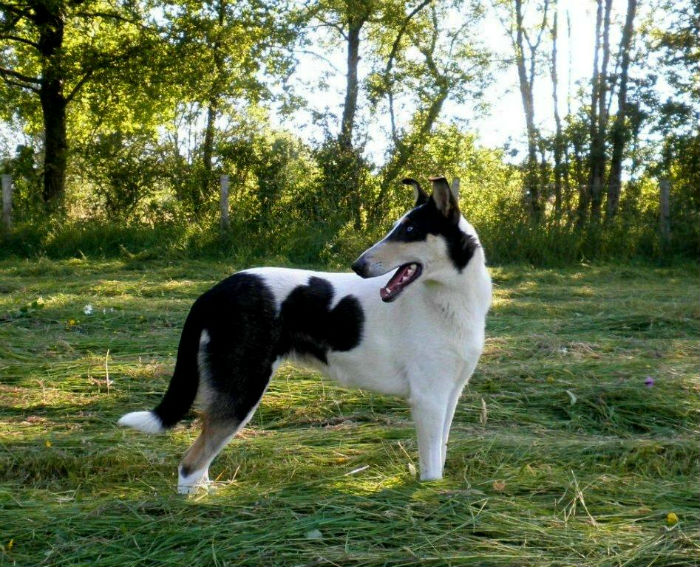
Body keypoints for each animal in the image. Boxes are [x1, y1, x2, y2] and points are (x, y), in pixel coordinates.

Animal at [119, 176, 492, 492]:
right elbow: (432, 466)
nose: (358, 265)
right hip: (243, 386)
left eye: (411, 230)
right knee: (190, 463)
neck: (447, 300)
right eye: (396, 228)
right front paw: (431, 494)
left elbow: (440, 453)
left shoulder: (449, 395)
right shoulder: (428, 398)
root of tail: (213, 292)